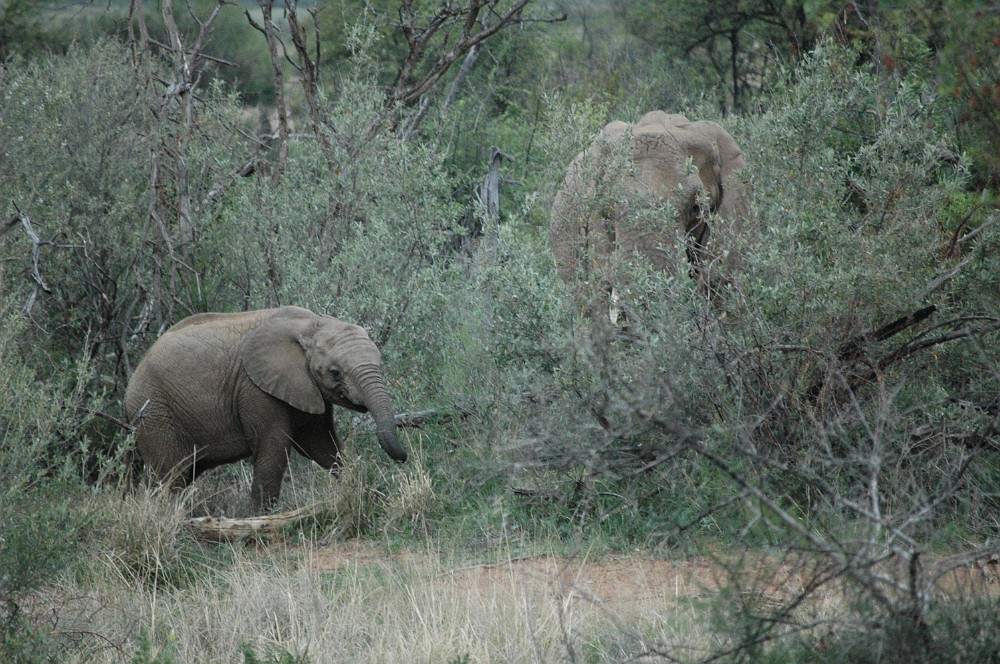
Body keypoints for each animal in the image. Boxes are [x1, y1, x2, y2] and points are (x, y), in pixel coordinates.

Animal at [124, 306, 407, 509]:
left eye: (380, 366)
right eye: (335, 372)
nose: (404, 458)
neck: (311, 324)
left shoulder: (306, 388)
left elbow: (322, 444)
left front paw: (361, 488)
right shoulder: (255, 389)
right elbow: (274, 447)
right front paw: (260, 519)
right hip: (155, 412)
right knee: (170, 474)